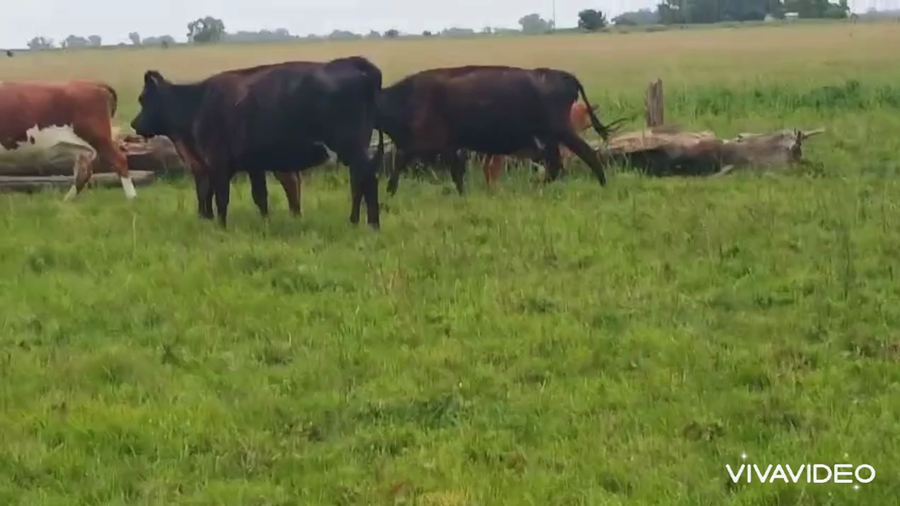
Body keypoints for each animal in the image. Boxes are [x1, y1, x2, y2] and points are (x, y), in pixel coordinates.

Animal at [0, 80, 136, 200]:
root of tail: (94, 84)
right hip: (81, 149)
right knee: (83, 173)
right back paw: (67, 200)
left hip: (98, 137)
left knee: (119, 160)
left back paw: (131, 198)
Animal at [130, 56, 385, 229]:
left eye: (143, 98)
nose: (134, 123)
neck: (198, 102)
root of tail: (354, 63)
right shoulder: (252, 164)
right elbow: (259, 196)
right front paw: (265, 222)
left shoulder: (218, 162)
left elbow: (221, 197)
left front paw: (221, 227)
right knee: (358, 182)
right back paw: (354, 220)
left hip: (352, 147)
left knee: (367, 180)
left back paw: (372, 225)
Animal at [376, 65, 624, 196]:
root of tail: (560, 74)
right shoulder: (442, 145)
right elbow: (454, 173)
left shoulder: (428, 141)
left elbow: (403, 162)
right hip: (549, 138)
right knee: (556, 165)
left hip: (560, 131)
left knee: (586, 154)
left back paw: (602, 185)